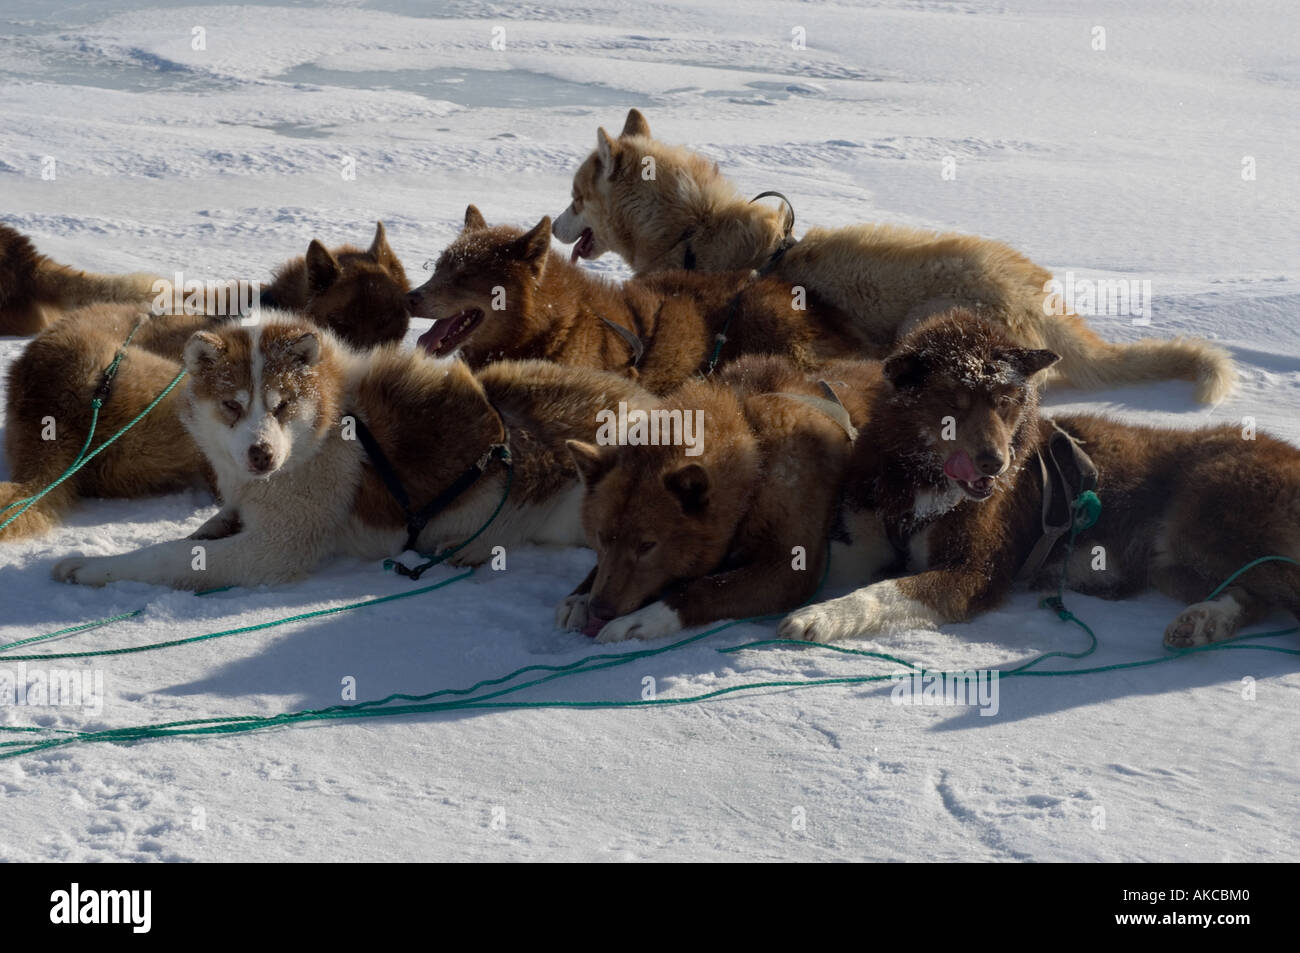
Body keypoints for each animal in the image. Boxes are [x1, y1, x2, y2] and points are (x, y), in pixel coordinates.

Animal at [556, 353, 873, 642]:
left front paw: (642, 620)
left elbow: (703, 588)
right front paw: (580, 596)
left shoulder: (789, 569)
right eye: (601, 537)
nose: (600, 609)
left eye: (647, 546)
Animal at [774, 310, 1300, 647]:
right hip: (1177, 563)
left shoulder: (973, 573)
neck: (921, 483)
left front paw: (819, 617)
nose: (995, 463)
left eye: (1006, 402)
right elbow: (839, 571)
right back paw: (1204, 624)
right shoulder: (858, 543)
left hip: (1203, 526)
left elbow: (881, 592)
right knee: (1250, 595)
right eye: (953, 406)